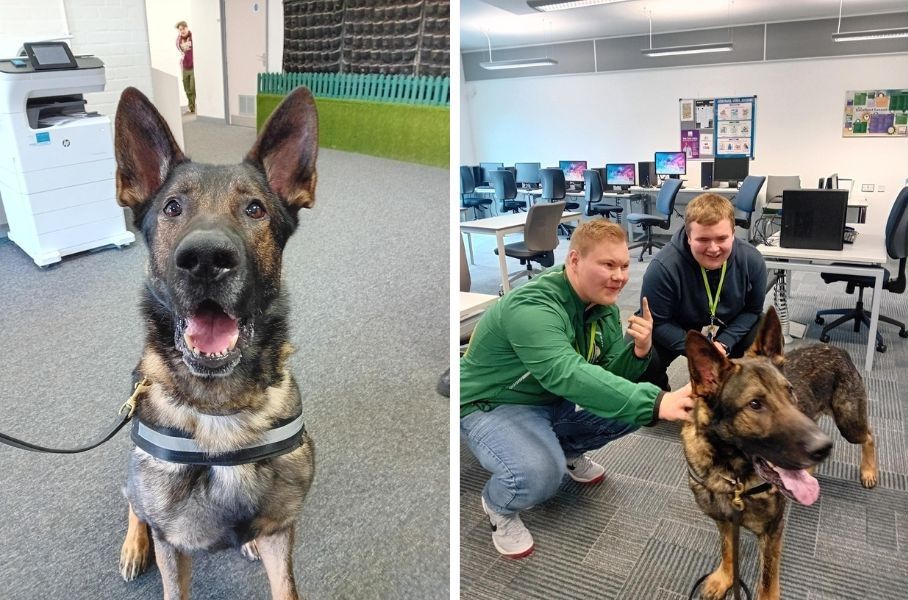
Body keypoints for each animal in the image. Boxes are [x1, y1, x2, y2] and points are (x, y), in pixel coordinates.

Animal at [684, 310, 876, 600]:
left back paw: (868, 471)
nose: (824, 448)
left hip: (848, 423)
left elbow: (767, 580)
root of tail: (836, 348)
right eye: (755, 404)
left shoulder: (772, 532)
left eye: (790, 391)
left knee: (870, 436)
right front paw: (725, 577)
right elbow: (728, 550)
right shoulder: (725, 521)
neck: (733, 475)